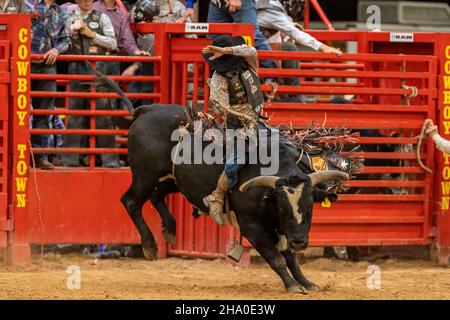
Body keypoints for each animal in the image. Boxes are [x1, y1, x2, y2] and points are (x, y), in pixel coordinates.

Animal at [122, 104, 348, 292]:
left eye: (310, 207)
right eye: (283, 209)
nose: (300, 242)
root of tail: (151, 109)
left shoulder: (280, 228)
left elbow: (291, 259)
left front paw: (306, 283)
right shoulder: (252, 226)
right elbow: (276, 257)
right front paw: (292, 285)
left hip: (172, 179)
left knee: (156, 196)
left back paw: (169, 230)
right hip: (145, 176)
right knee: (131, 201)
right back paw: (150, 246)